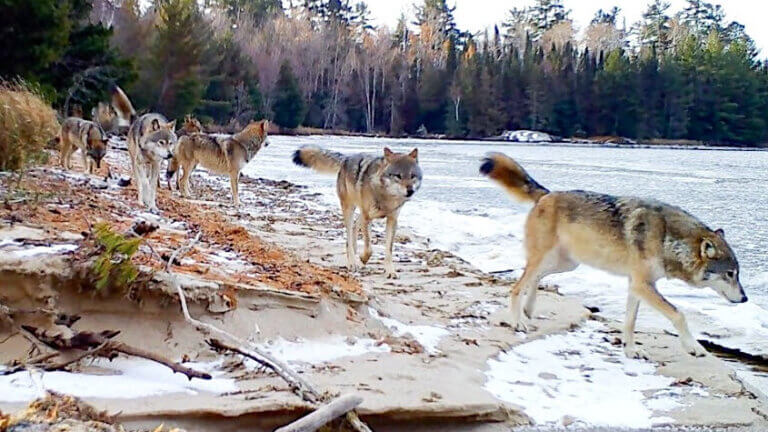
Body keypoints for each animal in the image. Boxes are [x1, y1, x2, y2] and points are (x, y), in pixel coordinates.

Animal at [293, 146, 422, 278]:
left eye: (412, 176)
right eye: (398, 176)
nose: (410, 191)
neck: (386, 197)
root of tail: (346, 158)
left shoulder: (392, 219)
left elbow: (389, 251)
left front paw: (390, 271)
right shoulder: (367, 217)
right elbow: (369, 249)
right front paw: (362, 260)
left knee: (354, 228)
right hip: (350, 209)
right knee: (349, 236)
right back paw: (352, 263)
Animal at [480, 153, 747, 358]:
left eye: (737, 274)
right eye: (730, 274)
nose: (745, 299)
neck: (667, 239)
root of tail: (547, 193)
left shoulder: (637, 285)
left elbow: (630, 322)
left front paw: (630, 351)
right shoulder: (642, 284)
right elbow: (679, 314)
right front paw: (694, 347)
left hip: (567, 264)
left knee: (535, 279)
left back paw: (529, 310)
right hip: (547, 260)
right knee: (517, 286)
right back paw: (519, 321)